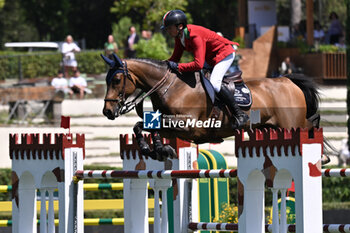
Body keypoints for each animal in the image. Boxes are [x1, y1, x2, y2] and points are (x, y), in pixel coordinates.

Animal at [101, 54, 320, 161]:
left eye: (117, 80)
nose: (107, 111)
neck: (171, 86)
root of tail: (288, 81)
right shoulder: (173, 126)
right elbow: (142, 125)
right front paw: (156, 149)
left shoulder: (187, 125)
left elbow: (146, 125)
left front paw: (157, 148)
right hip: (271, 128)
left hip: (290, 125)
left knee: (308, 128)